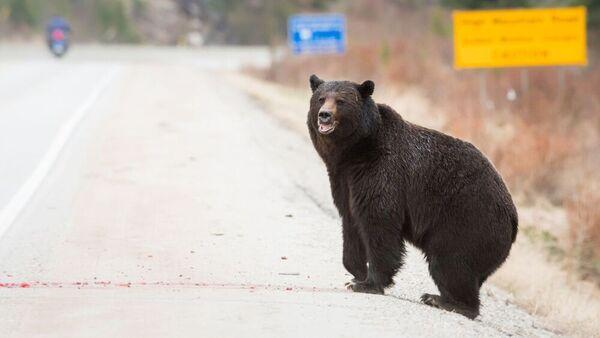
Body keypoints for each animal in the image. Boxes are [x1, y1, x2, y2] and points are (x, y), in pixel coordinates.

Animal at [308, 74, 516, 320]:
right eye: (321, 98)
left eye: (341, 101)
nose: (324, 115)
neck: (355, 150)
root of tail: (513, 217)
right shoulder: (344, 180)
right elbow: (351, 221)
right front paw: (356, 272)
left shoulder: (383, 172)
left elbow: (379, 222)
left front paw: (368, 283)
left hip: (469, 222)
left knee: (451, 262)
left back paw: (443, 300)